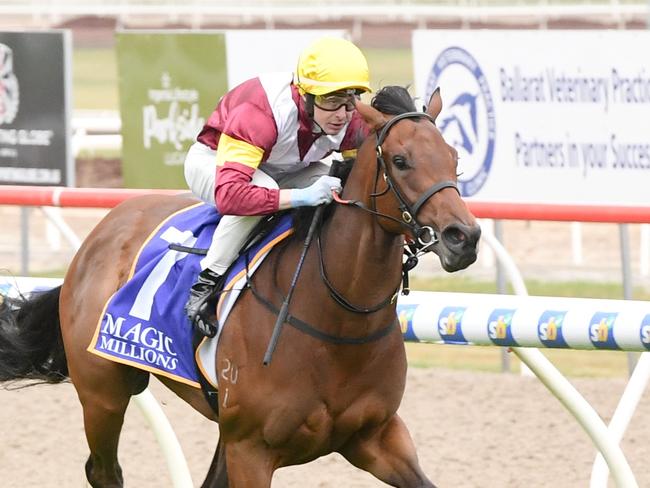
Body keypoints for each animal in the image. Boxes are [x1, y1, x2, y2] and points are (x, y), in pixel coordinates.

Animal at [0, 86, 476, 486]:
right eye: (400, 160)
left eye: (454, 157)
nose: (464, 237)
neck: (337, 321)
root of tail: (97, 236)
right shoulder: (251, 449)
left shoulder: (375, 437)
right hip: (103, 393)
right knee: (103, 470)